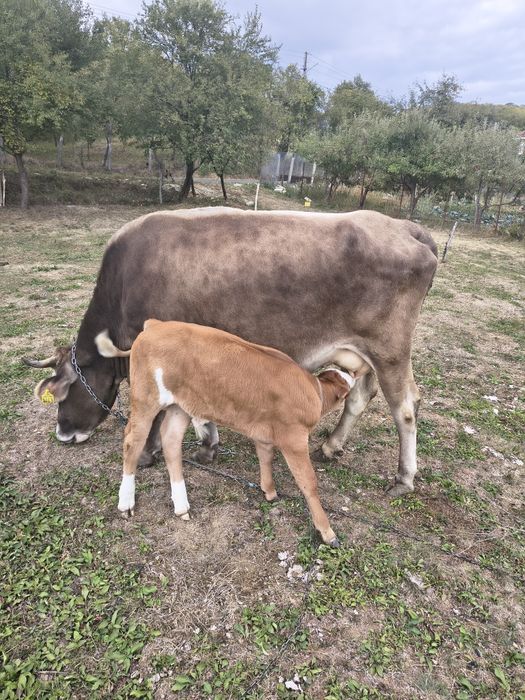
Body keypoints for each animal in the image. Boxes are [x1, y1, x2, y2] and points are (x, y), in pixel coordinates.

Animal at [25, 207, 438, 497]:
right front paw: (208, 444)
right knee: (361, 396)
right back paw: (331, 445)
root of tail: (403, 227)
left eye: (63, 391)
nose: (63, 433)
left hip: (390, 348)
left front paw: (147, 453)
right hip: (364, 352)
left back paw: (403, 478)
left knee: (405, 407)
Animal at [95, 320, 356, 545]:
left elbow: (265, 458)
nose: (353, 374)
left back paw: (181, 506)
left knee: (170, 442)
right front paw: (327, 531)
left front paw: (269, 492)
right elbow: (308, 483)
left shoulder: (263, 434)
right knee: (132, 442)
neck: (314, 390)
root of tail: (155, 325)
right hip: (146, 398)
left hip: (180, 406)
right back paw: (126, 502)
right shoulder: (294, 439)